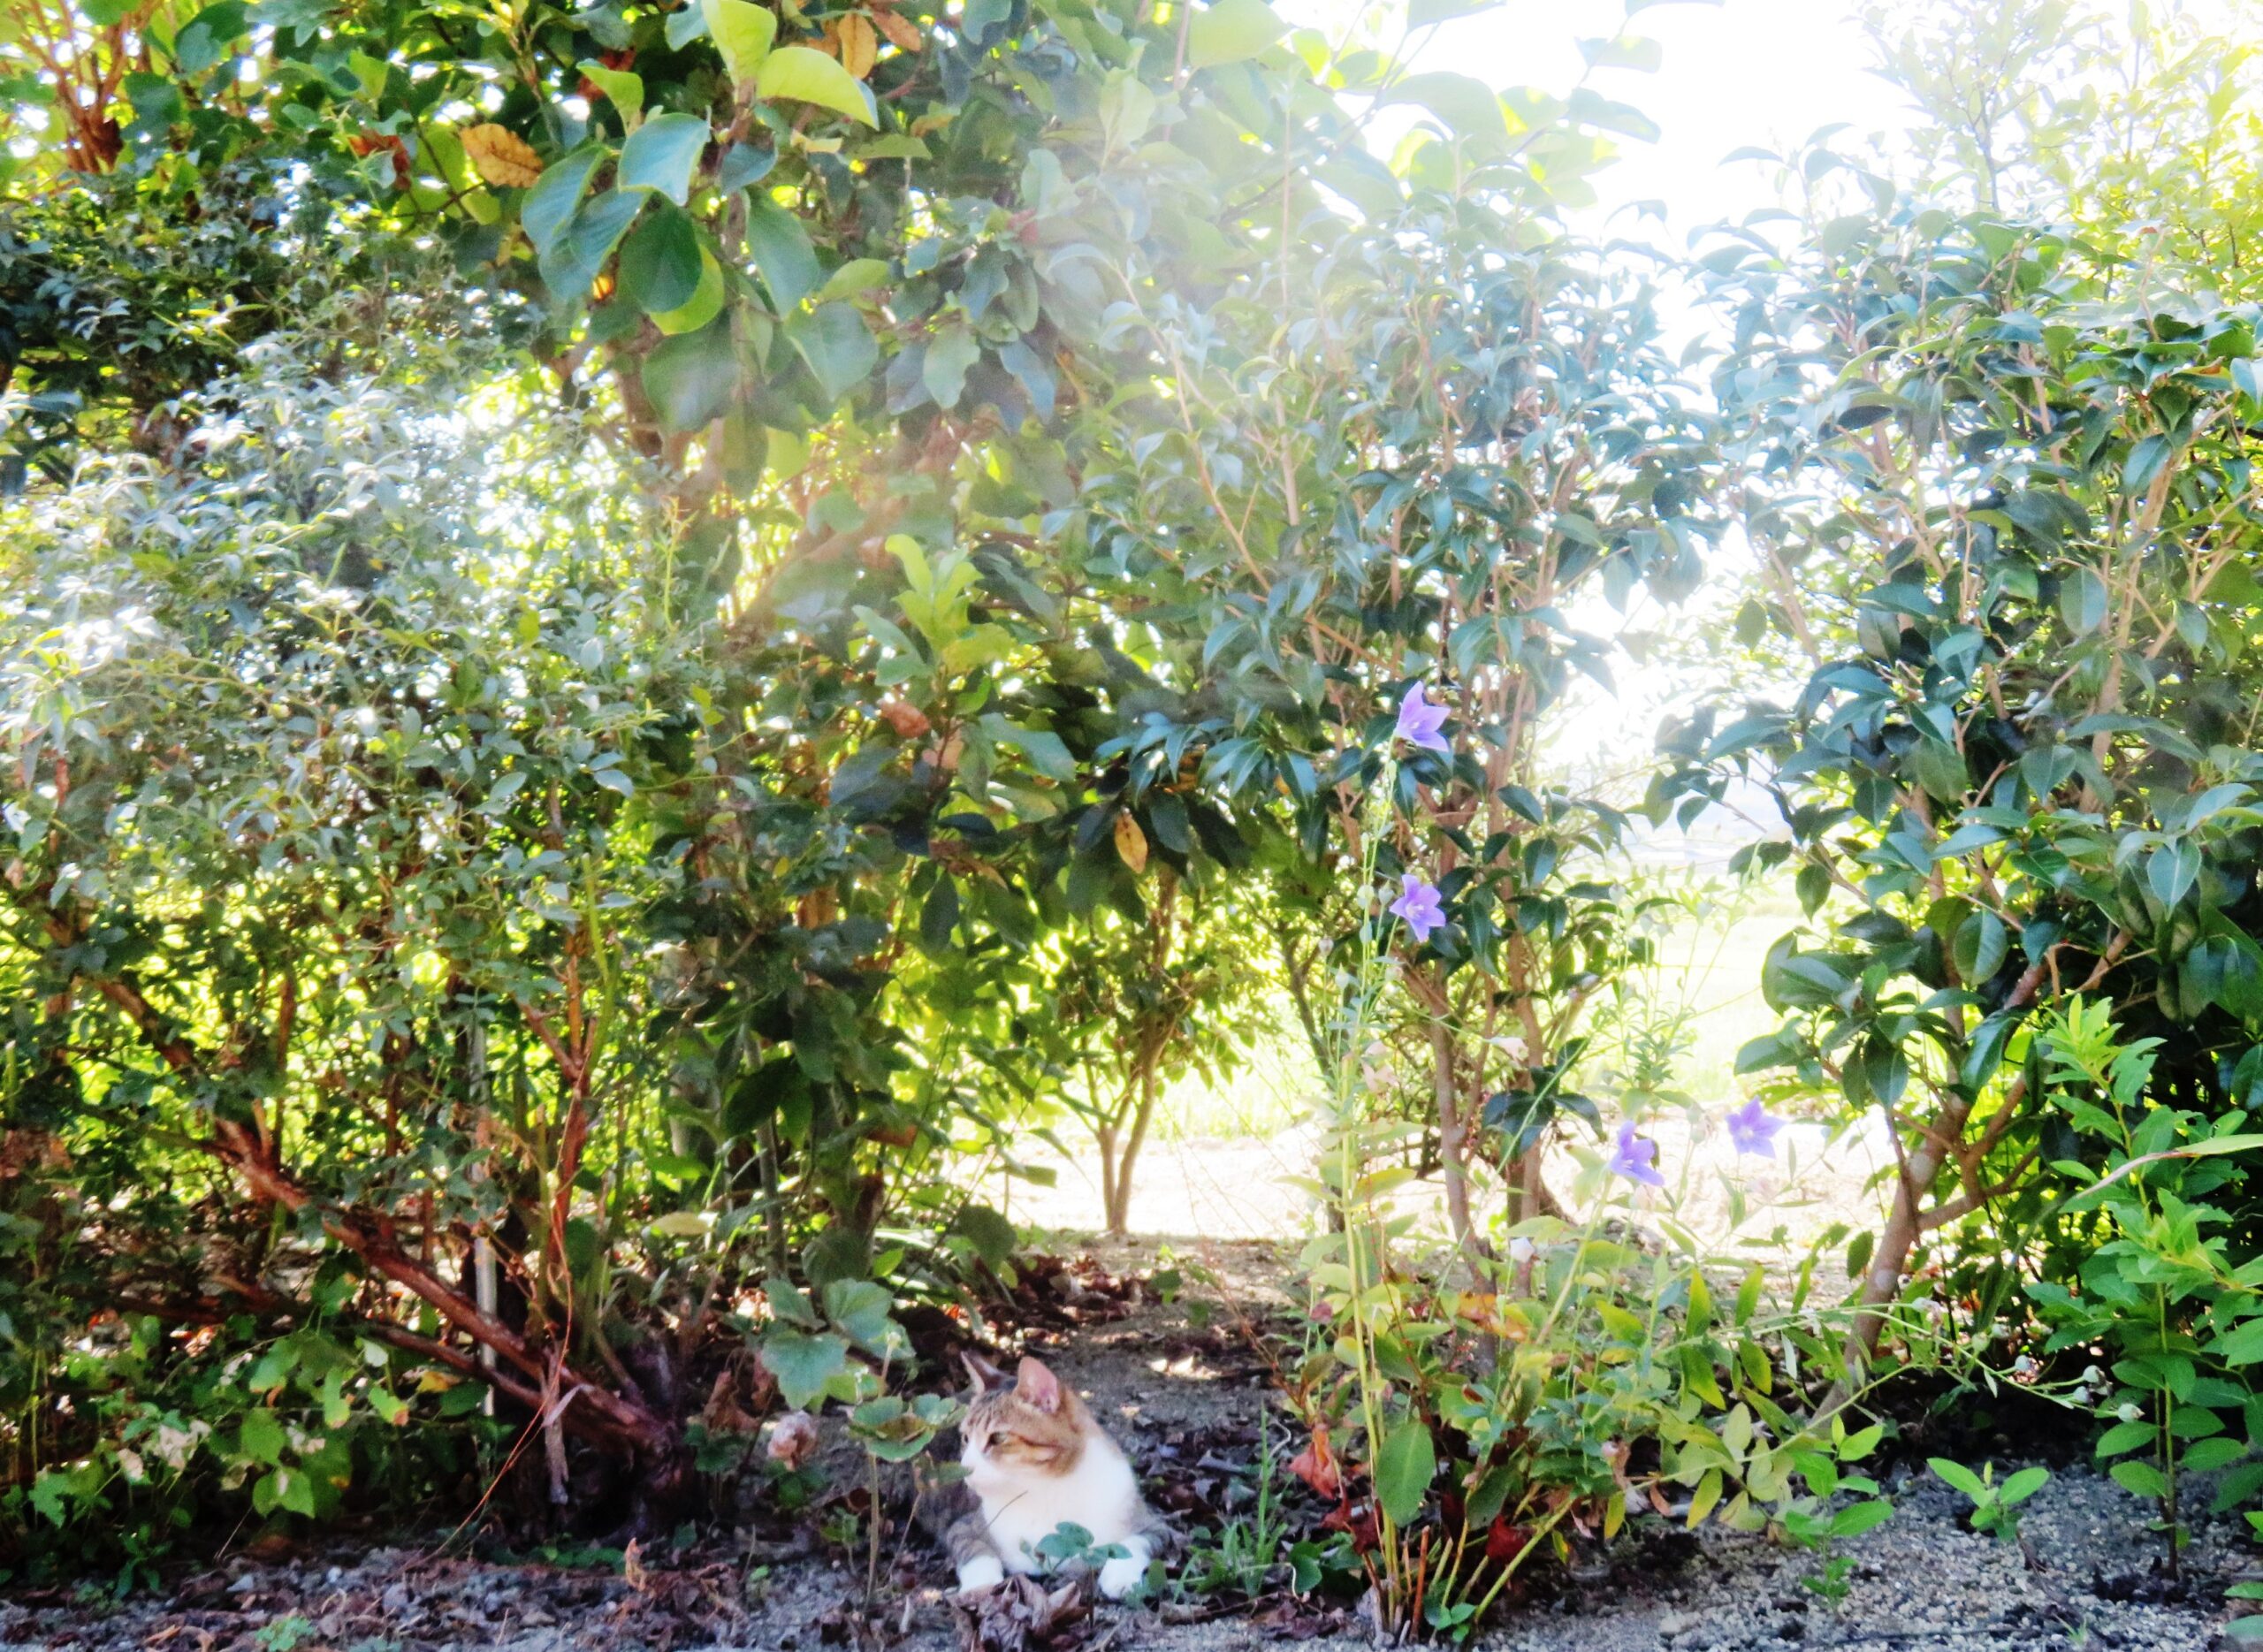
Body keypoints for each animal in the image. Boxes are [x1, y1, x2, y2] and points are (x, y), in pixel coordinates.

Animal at [946, 1348, 1177, 1593]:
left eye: (998, 1438)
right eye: (965, 1438)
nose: (963, 1468)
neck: (1047, 1488)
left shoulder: (1154, 1525)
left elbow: (1134, 1543)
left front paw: (1119, 1576)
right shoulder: (963, 1526)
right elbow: (975, 1550)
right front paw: (980, 1586)